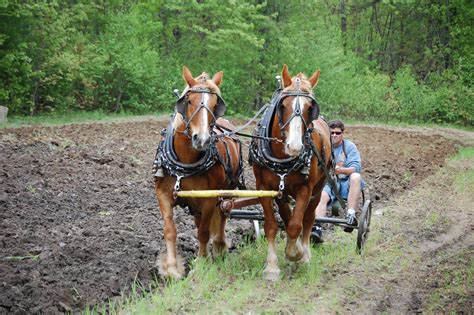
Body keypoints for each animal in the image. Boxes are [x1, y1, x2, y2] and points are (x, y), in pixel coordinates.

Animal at [154, 66, 243, 278]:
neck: (186, 160)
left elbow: (203, 232)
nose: (201, 139)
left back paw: (219, 246)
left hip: (228, 191)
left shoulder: (209, 198)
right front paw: (171, 268)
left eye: (215, 104)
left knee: (223, 215)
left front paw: (202, 262)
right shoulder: (163, 194)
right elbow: (170, 230)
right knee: (199, 219)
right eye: (189, 101)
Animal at [250, 64, 332, 282]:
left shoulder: (305, 188)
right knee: (288, 216)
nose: (295, 147)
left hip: (318, 189)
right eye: (283, 106)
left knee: (308, 219)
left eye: (310, 108)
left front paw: (296, 254)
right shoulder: (265, 188)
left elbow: (296, 225)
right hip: (282, 191)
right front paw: (272, 267)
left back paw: (305, 253)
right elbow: (272, 225)